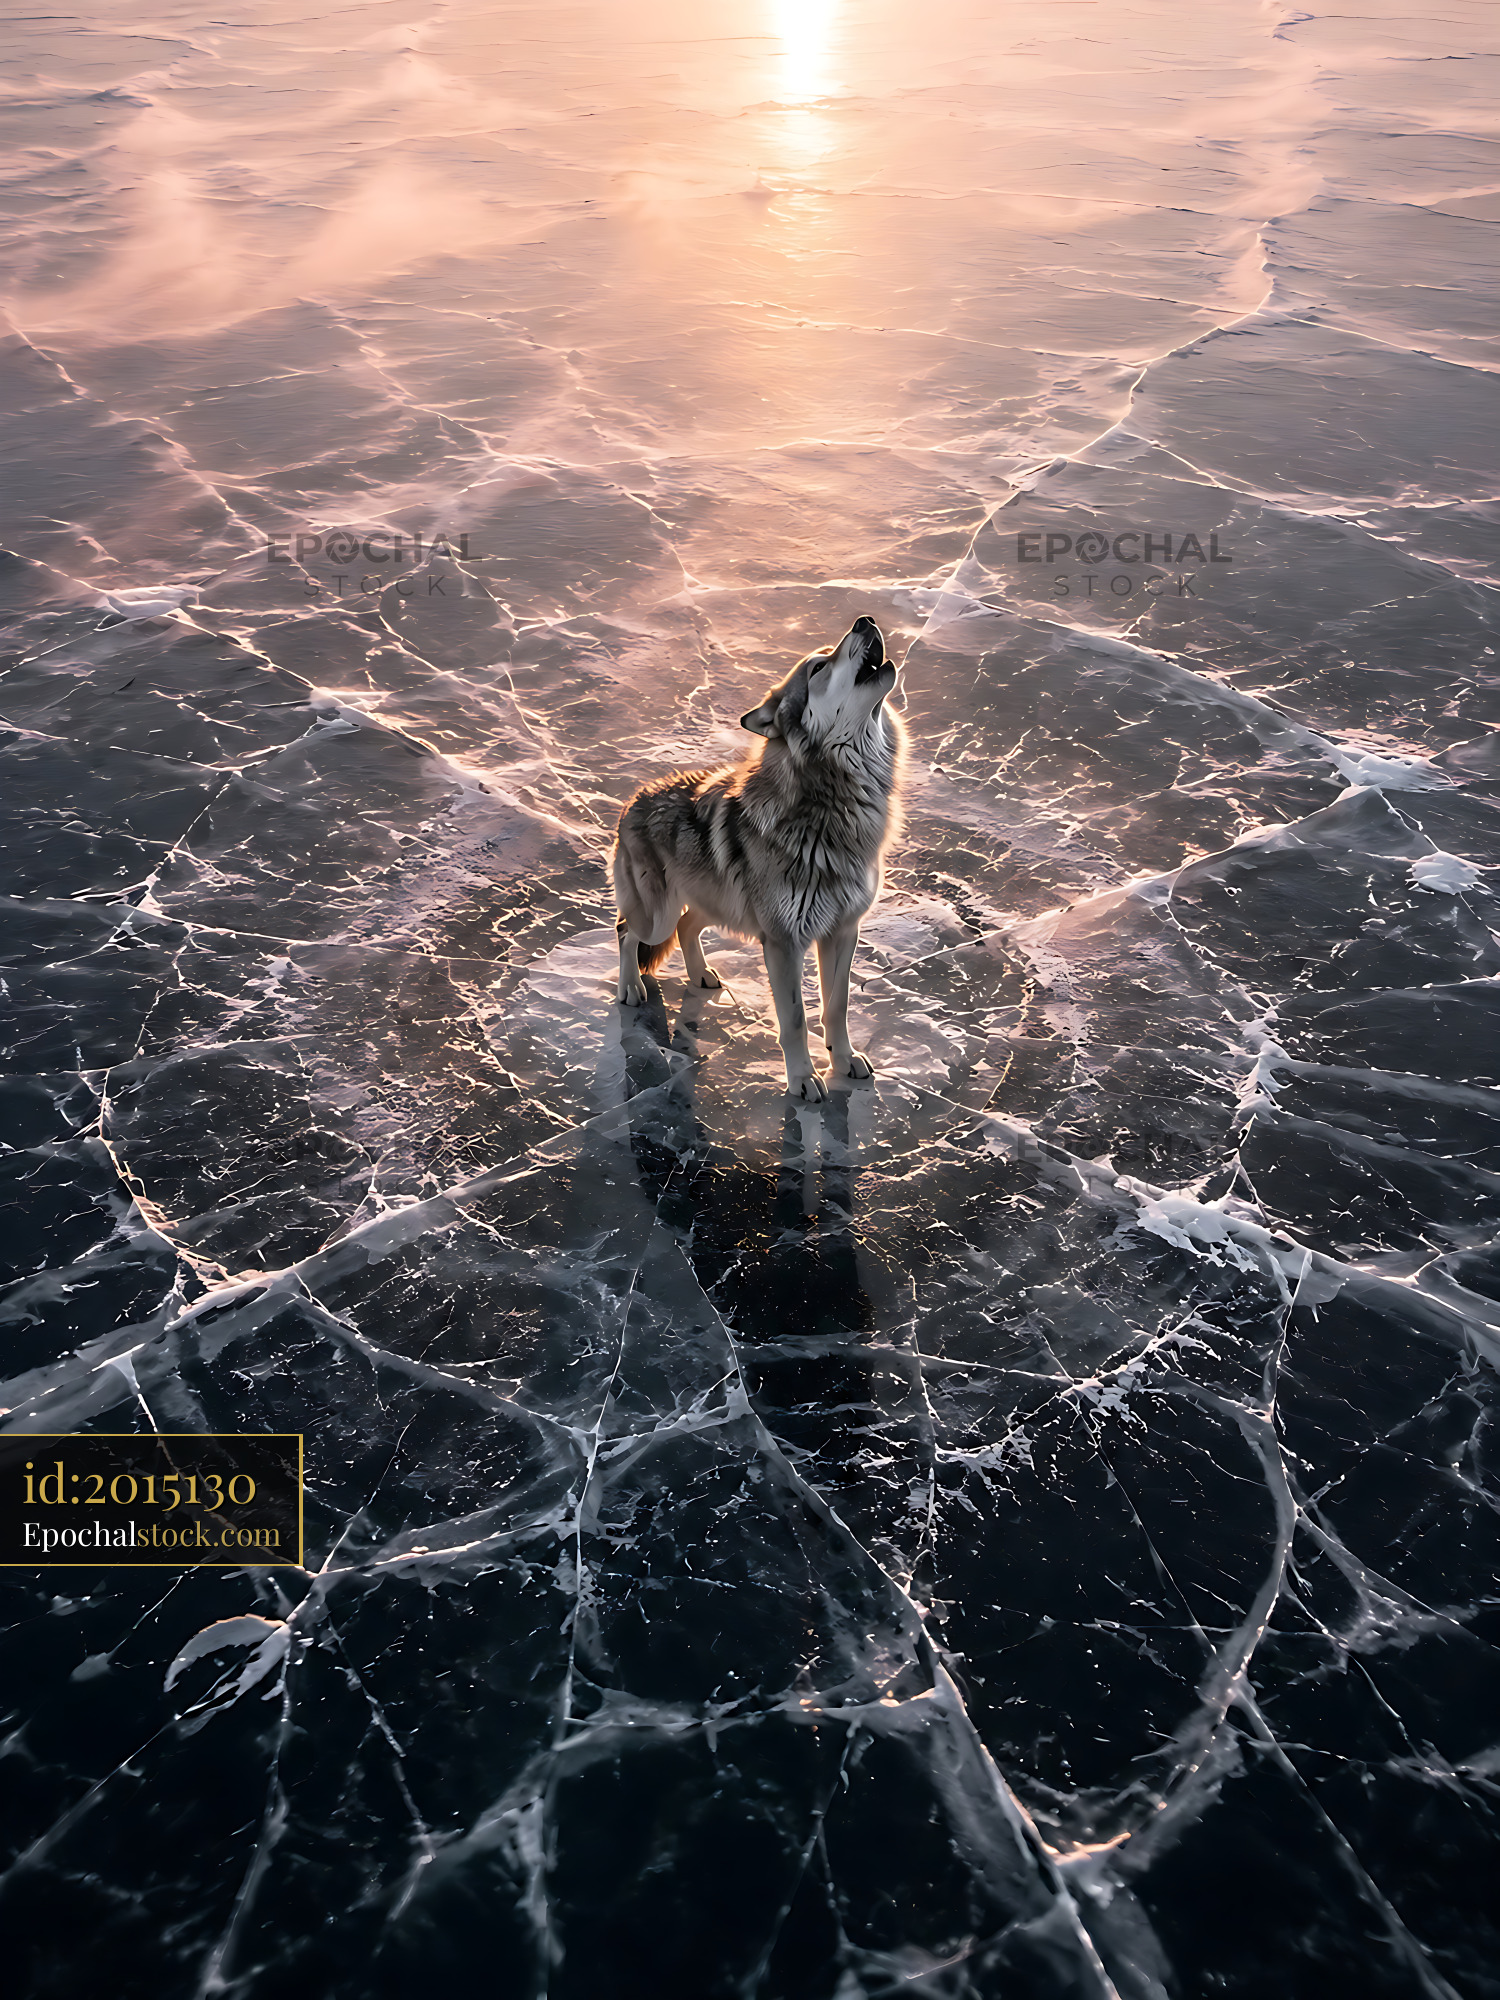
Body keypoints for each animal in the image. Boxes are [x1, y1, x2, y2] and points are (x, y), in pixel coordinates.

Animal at [612, 615, 907, 1101]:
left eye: (826, 656)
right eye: (819, 667)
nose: (864, 620)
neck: (832, 809)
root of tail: (634, 797)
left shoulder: (844, 930)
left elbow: (837, 1007)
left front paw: (843, 1061)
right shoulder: (784, 942)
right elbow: (796, 1019)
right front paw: (803, 1079)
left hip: (715, 905)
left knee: (686, 926)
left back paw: (701, 974)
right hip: (657, 915)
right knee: (624, 930)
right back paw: (631, 988)